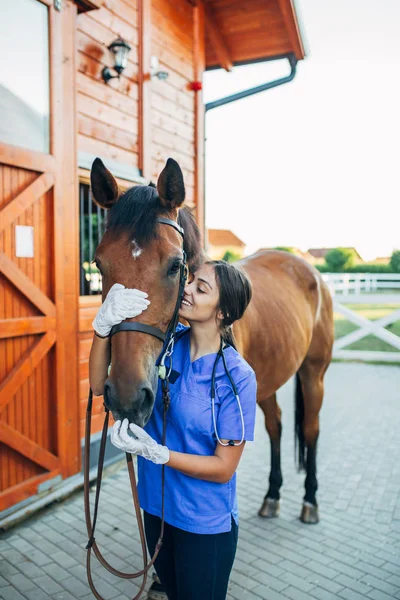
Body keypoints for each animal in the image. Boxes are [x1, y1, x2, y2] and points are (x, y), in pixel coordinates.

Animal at [90, 157, 334, 524]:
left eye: (175, 265)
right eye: (99, 264)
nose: (126, 397)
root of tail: (308, 269)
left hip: (313, 374)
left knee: (310, 429)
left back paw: (310, 501)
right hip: (268, 379)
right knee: (275, 425)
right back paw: (272, 495)